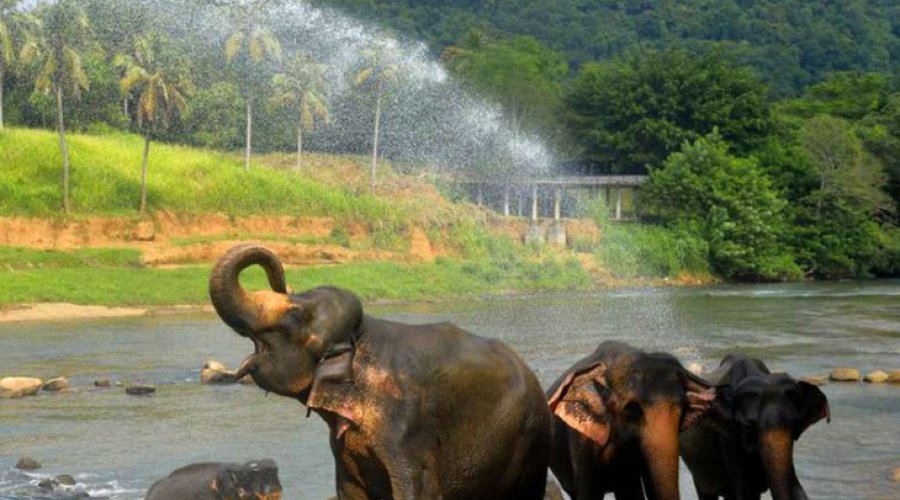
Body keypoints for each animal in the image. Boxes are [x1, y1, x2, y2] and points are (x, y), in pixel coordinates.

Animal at [208, 244, 551, 500]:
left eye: (294, 315)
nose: (282, 280)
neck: (362, 338)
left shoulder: (409, 432)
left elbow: (417, 489)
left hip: (530, 440)